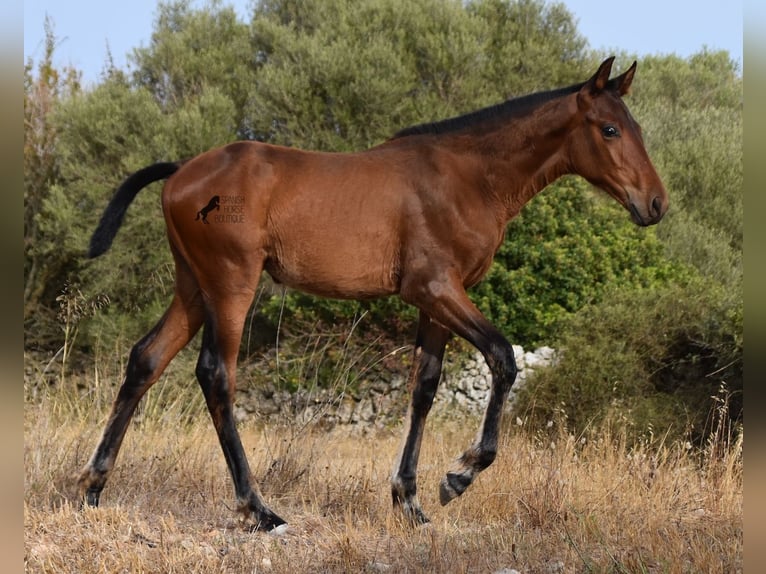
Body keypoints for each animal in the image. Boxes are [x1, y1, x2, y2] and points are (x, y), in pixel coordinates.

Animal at [75, 57, 668, 532]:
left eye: (637, 127)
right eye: (609, 129)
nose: (656, 203)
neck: (468, 176)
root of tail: (181, 171)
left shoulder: (438, 302)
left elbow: (424, 388)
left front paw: (409, 500)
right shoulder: (433, 287)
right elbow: (502, 358)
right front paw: (460, 474)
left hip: (193, 288)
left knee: (145, 359)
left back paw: (91, 489)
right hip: (230, 286)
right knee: (216, 375)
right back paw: (258, 509)